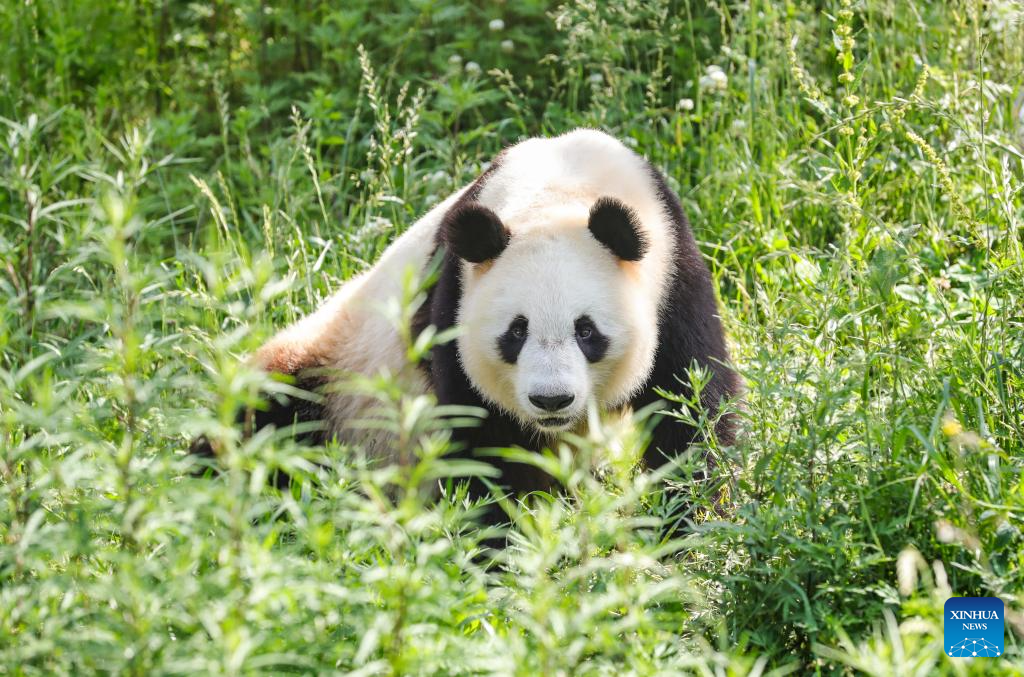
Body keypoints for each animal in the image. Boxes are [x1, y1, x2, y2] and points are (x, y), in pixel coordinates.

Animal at [199, 129, 740, 503]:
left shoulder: (674, 280)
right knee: (262, 415)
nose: (551, 400)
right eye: (515, 332)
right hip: (333, 374)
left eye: (587, 331)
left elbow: (689, 405)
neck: (566, 184)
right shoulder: (451, 297)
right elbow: (485, 441)